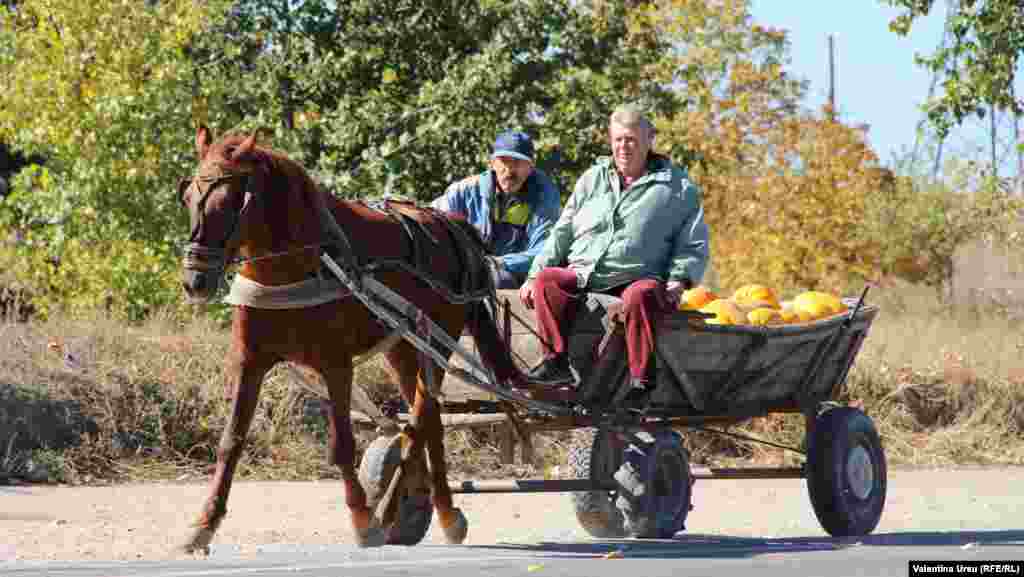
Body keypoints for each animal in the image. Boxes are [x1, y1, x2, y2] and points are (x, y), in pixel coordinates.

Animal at [176, 125, 516, 549]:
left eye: (231, 202)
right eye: (188, 197)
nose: (195, 281)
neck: (297, 265)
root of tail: (453, 226)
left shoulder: (335, 365)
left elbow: (341, 446)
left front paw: (362, 519)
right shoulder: (249, 361)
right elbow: (230, 441)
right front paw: (204, 523)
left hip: (437, 342)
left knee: (420, 419)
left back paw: (391, 508)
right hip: (404, 348)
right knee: (430, 421)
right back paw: (442, 511)